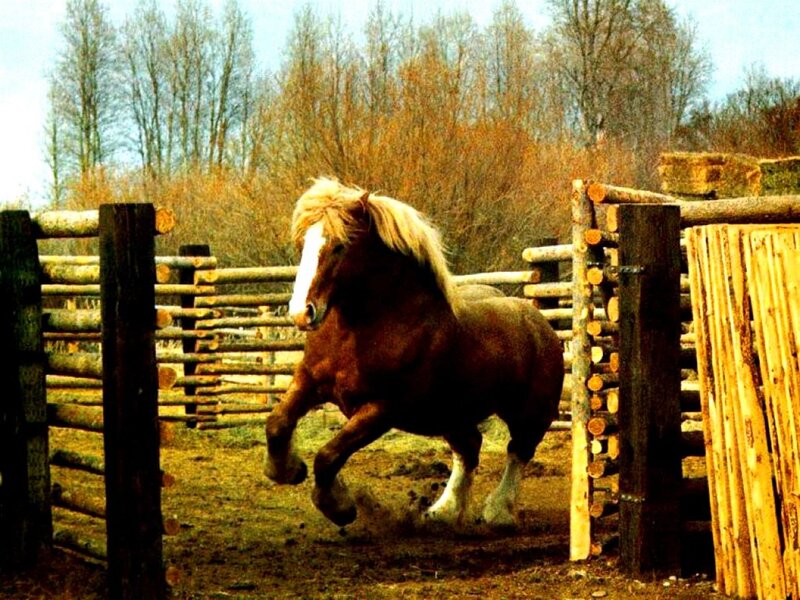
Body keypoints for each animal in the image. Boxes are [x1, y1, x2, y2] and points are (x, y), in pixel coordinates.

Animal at [264, 178, 564, 528]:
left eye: (340, 245)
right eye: (303, 244)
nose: (302, 312)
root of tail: (539, 323)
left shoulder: (380, 409)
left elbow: (328, 456)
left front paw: (341, 507)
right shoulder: (309, 380)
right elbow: (277, 423)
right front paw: (287, 470)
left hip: (529, 413)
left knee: (518, 452)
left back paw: (497, 512)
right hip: (452, 414)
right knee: (469, 449)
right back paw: (442, 511)